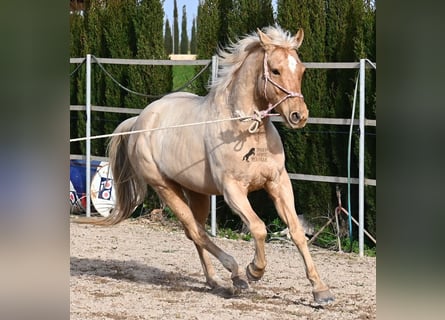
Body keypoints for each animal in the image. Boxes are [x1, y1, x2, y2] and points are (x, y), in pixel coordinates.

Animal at [92, 26, 332, 304]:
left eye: (301, 70)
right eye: (275, 70)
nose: (298, 116)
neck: (244, 130)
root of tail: (140, 120)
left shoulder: (278, 182)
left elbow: (296, 231)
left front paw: (321, 290)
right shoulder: (233, 190)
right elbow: (259, 228)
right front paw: (254, 270)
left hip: (197, 192)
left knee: (194, 232)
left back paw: (214, 280)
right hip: (165, 187)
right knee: (196, 231)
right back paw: (236, 274)